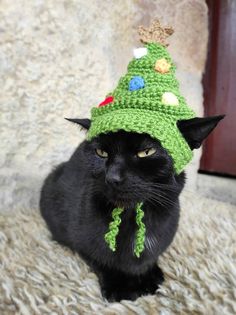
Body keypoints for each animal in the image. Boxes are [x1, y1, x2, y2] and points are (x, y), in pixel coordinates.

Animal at [40, 115, 223, 302]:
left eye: (146, 152)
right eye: (101, 153)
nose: (112, 177)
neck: (132, 217)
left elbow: (149, 258)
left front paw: (149, 277)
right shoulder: (81, 240)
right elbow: (101, 259)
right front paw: (119, 288)